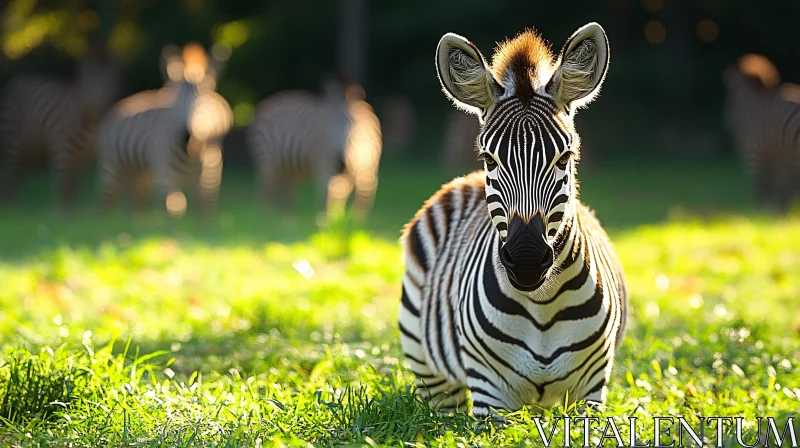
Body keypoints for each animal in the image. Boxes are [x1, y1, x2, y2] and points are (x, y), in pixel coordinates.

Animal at [0, 44, 120, 213]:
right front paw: (62, 214)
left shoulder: (84, 158)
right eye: (87, 84)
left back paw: (15, 208)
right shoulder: (60, 152)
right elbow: (61, 187)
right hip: (13, 141)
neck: (91, 126)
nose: (95, 107)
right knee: (10, 172)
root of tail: (14, 81)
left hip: (29, 148)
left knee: (17, 174)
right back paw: (10, 207)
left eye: (108, 84)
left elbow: (75, 188)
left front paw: (76, 214)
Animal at [97, 43, 231, 218]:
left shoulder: (210, 180)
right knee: (105, 204)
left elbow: (206, 212)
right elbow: (170, 212)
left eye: (204, 102)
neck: (192, 155)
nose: (187, 137)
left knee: (135, 205)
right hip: (113, 168)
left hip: (140, 175)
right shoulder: (165, 177)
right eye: (175, 104)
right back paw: (103, 223)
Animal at [247, 77, 382, 220]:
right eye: (330, 129)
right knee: (267, 192)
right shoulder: (325, 162)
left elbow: (358, 195)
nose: (341, 163)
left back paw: (286, 218)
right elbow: (326, 192)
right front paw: (325, 220)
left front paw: (352, 220)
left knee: (285, 193)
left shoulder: (367, 166)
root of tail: (267, 101)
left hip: (290, 168)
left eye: (354, 132)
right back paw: (267, 217)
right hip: (268, 161)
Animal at [396, 22, 628, 418]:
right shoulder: (490, 394)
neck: (542, 305)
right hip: (432, 375)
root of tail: (465, 181)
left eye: (565, 157)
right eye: (490, 159)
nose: (527, 260)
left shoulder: (592, 389)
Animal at [724, 53, 800, 212]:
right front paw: (775, 215)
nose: (726, 122)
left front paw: (760, 217)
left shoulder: (755, 153)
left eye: (729, 100)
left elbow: (761, 192)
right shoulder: (784, 158)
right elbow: (783, 195)